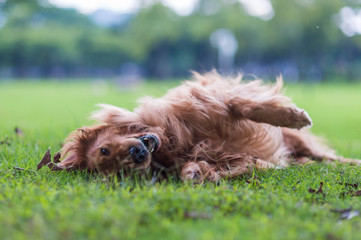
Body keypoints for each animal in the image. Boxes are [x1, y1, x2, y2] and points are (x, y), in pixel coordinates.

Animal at [58, 71, 358, 182]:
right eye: (121, 172)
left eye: (105, 150)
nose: (137, 155)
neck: (174, 143)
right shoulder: (232, 159)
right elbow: (207, 167)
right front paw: (192, 174)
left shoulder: (211, 101)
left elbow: (244, 105)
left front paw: (293, 116)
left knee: (329, 156)